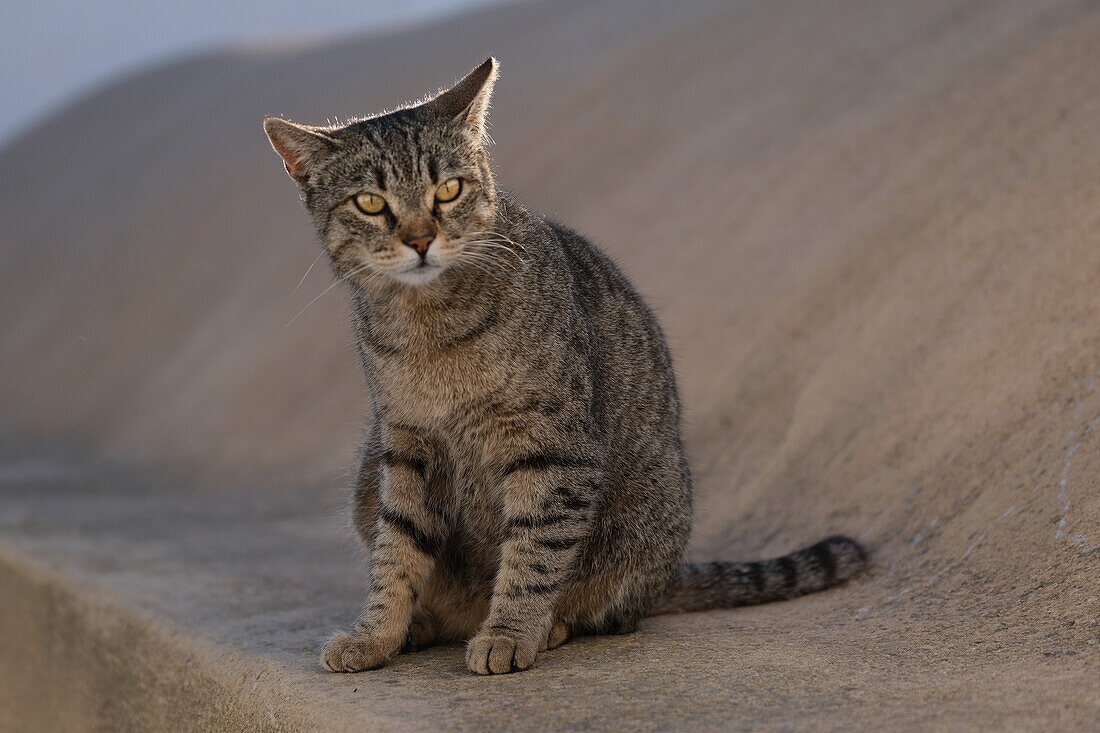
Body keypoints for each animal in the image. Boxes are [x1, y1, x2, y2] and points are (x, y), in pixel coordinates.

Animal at [264, 57, 866, 673]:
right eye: (370, 203)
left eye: (449, 190)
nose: (421, 239)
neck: (432, 330)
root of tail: (669, 574)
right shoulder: (406, 446)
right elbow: (396, 553)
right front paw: (375, 634)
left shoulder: (551, 447)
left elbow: (533, 552)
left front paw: (508, 633)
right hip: (368, 478)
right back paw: (425, 625)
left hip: (643, 523)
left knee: (608, 609)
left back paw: (545, 626)